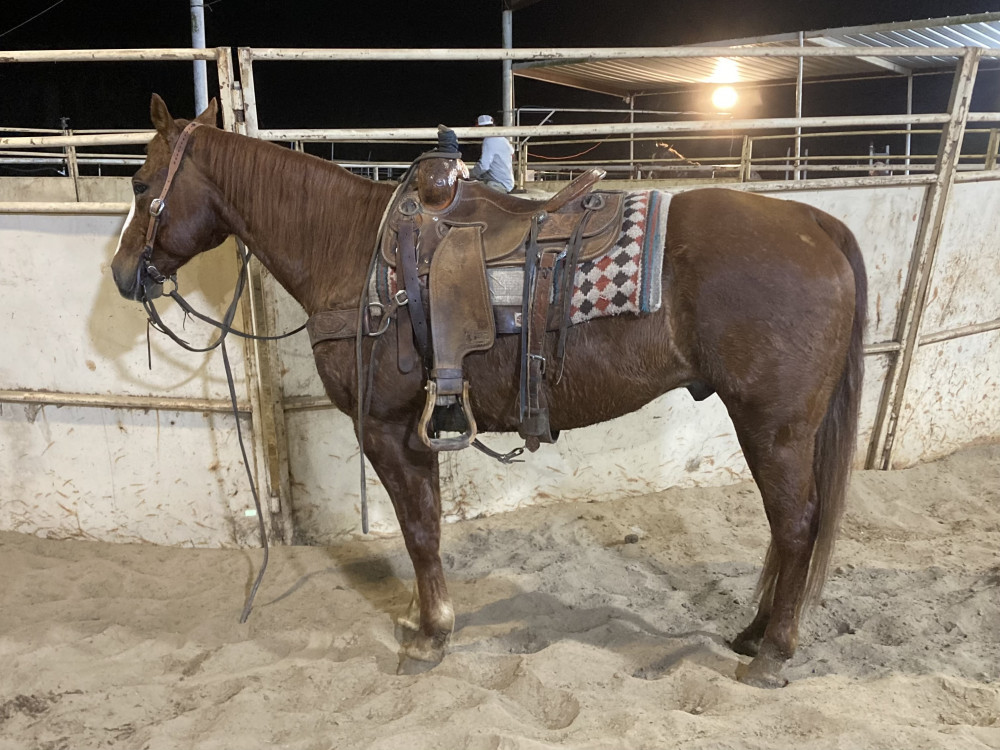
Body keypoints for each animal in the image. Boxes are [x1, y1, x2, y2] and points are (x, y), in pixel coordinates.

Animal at [111, 95, 867, 688]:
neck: (354, 254)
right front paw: (426, 621)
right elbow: (429, 524)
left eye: (142, 184)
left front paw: (430, 635)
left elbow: (418, 530)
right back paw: (753, 633)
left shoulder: (386, 427)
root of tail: (818, 224)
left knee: (796, 525)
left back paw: (771, 653)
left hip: (774, 426)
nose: (122, 273)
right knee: (788, 530)